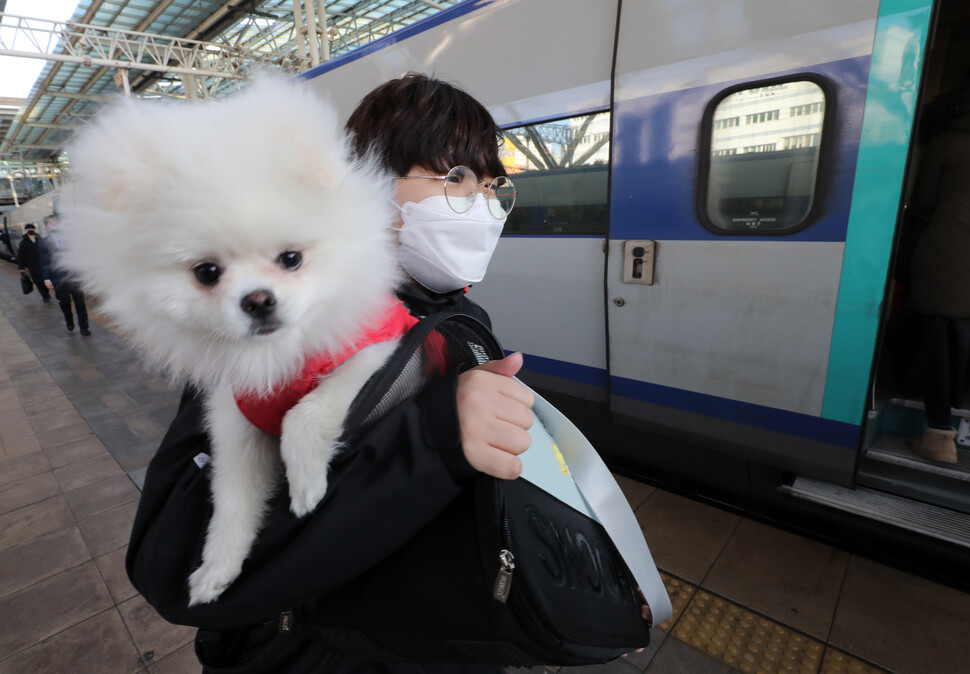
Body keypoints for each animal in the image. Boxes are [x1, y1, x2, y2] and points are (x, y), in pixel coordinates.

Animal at [56, 77, 406, 604]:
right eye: (207, 272)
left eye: (291, 258)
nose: (258, 300)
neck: (275, 356)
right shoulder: (235, 419)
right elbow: (232, 499)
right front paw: (216, 569)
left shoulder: (377, 348)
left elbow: (308, 411)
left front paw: (305, 482)